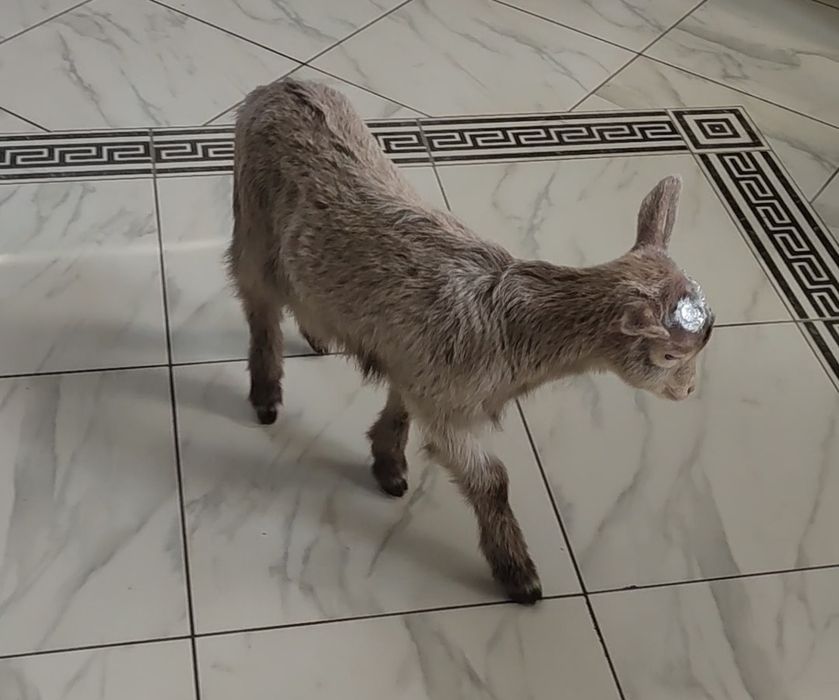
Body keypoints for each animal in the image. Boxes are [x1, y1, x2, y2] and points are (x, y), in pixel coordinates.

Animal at [228, 78, 714, 605]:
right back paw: (266, 394)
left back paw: (316, 334)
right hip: (252, 218)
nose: (688, 390)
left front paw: (387, 461)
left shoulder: (417, 367)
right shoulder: (447, 405)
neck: (511, 327)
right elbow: (492, 479)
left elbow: (400, 408)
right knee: (259, 304)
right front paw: (518, 574)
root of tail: (277, 87)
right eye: (668, 354)